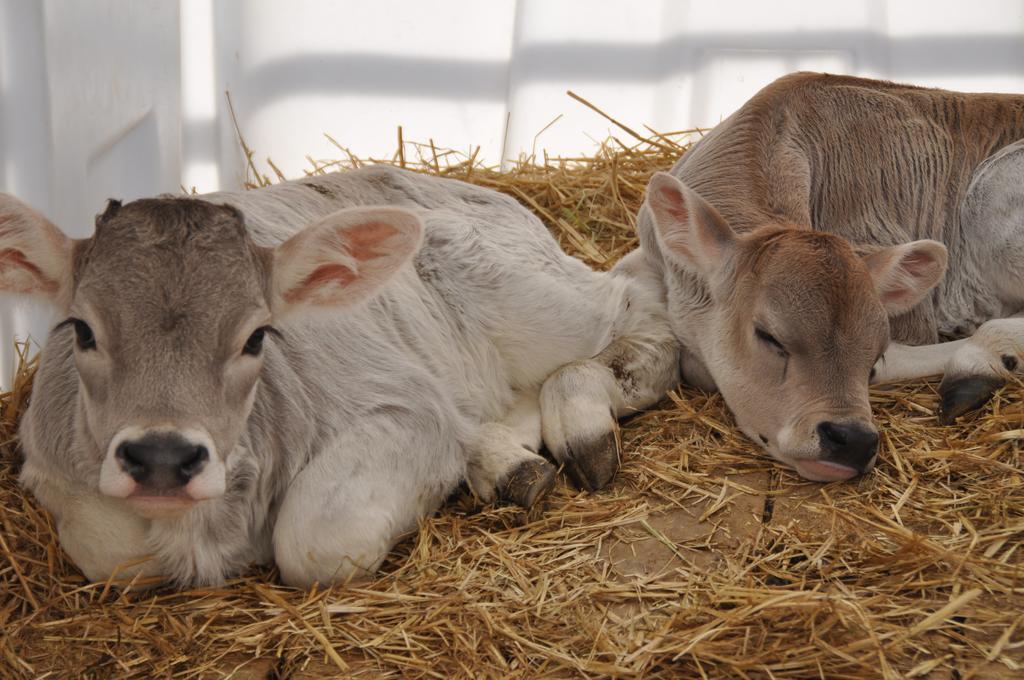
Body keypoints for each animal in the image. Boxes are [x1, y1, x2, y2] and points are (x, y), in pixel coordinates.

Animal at [6, 166, 688, 585]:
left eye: (257, 335)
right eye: (82, 329)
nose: (163, 457)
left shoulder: (405, 405)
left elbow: (315, 540)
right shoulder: (48, 460)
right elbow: (112, 550)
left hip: (530, 295)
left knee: (646, 310)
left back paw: (581, 424)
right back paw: (505, 462)